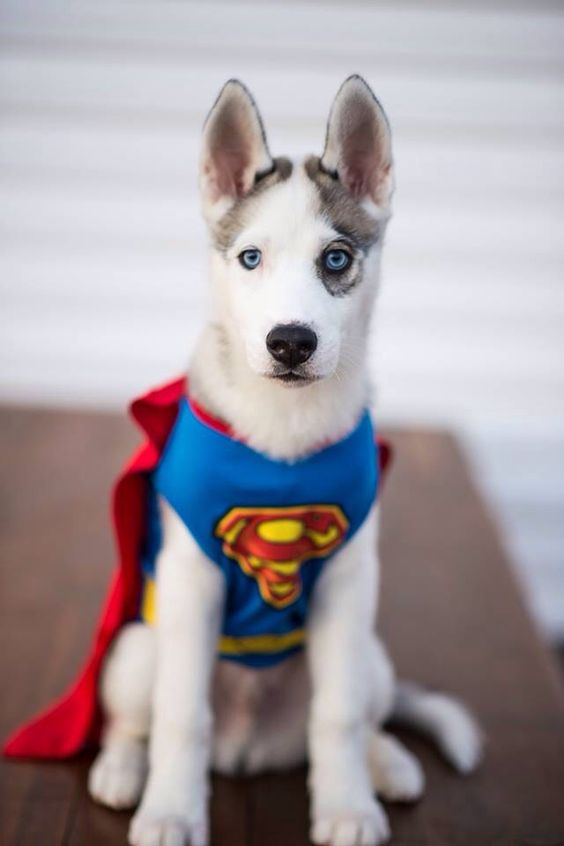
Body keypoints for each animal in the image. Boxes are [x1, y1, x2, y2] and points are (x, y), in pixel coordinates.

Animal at [87, 76, 480, 844]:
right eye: (250, 258)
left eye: (337, 259)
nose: (291, 343)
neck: (285, 434)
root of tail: (251, 746)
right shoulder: (190, 580)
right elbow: (182, 717)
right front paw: (171, 810)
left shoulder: (350, 582)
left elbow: (338, 716)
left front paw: (347, 806)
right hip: (137, 652)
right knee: (135, 718)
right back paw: (122, 769)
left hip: (371, 655)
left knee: (358, 714)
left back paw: (387, 763)